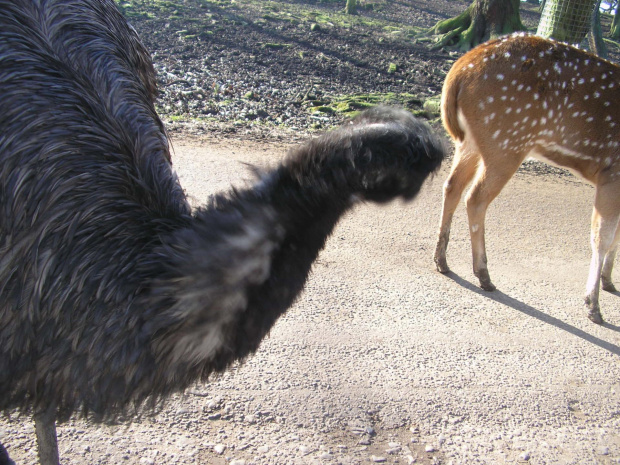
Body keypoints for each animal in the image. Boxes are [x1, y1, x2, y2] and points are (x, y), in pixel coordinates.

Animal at [436, 33, 620, 322]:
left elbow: (615, 236)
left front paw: (608, 281)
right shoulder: (612, 172)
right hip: (506, 141)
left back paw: (442, 261)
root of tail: (458, 71)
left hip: (472, 141)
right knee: (475, 198)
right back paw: (483, 274)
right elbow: (602, 237)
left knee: (452, 186)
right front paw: (593, 306)